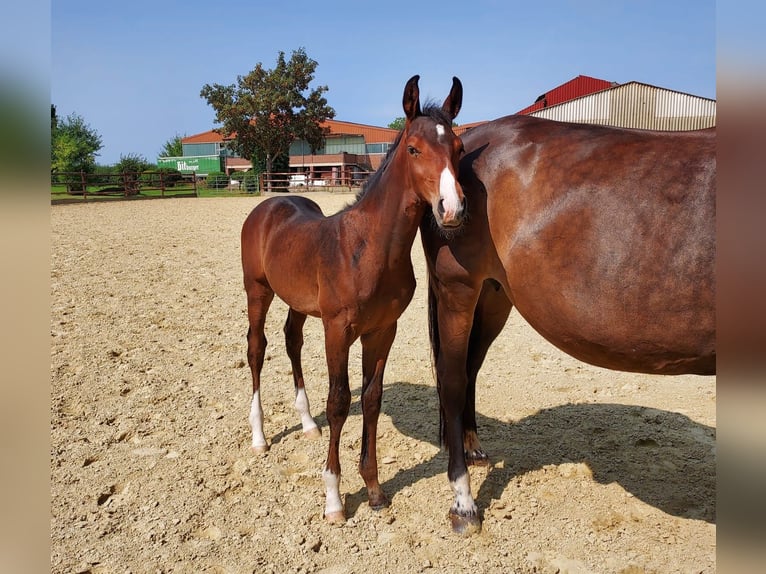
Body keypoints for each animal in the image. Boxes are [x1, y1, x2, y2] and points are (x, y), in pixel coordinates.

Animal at [243, 74, 464, 524]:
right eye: (414, 148)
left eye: (459, 148)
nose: (451, 210)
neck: (369, 248)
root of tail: (269, 204)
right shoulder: (338, 329)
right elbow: (341, 401)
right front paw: (333, 498)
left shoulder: (382, 330)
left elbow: (372, 399)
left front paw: (374, 489)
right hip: (257, 291)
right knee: (257, 349)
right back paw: (259, 436)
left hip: (297, 303)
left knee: (292, 341)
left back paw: (307, 424)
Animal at [416, 115, 716, 536]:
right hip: (457, 289)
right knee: (453, 379)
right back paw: (464, 503)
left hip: (493, 295)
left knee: (471, 366)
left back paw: (473, 448)